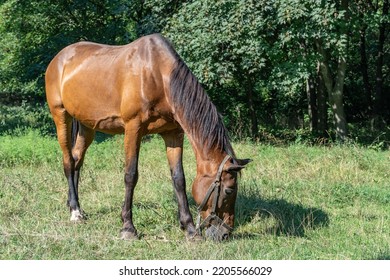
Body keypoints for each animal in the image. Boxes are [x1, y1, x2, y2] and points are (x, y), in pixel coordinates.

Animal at [45, 33, 250, 241]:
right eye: (229, 190)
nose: (224, 234)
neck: (157, 76)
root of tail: (59, 58)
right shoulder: (133, 128)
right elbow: (130, 175)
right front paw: (128, 227)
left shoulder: (173, 134)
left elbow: (179, 178)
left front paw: (190, 228)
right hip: (61, 116)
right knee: (69, 162)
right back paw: (75, 212)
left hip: (86, 126)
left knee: (77, 160)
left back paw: (76, 206)